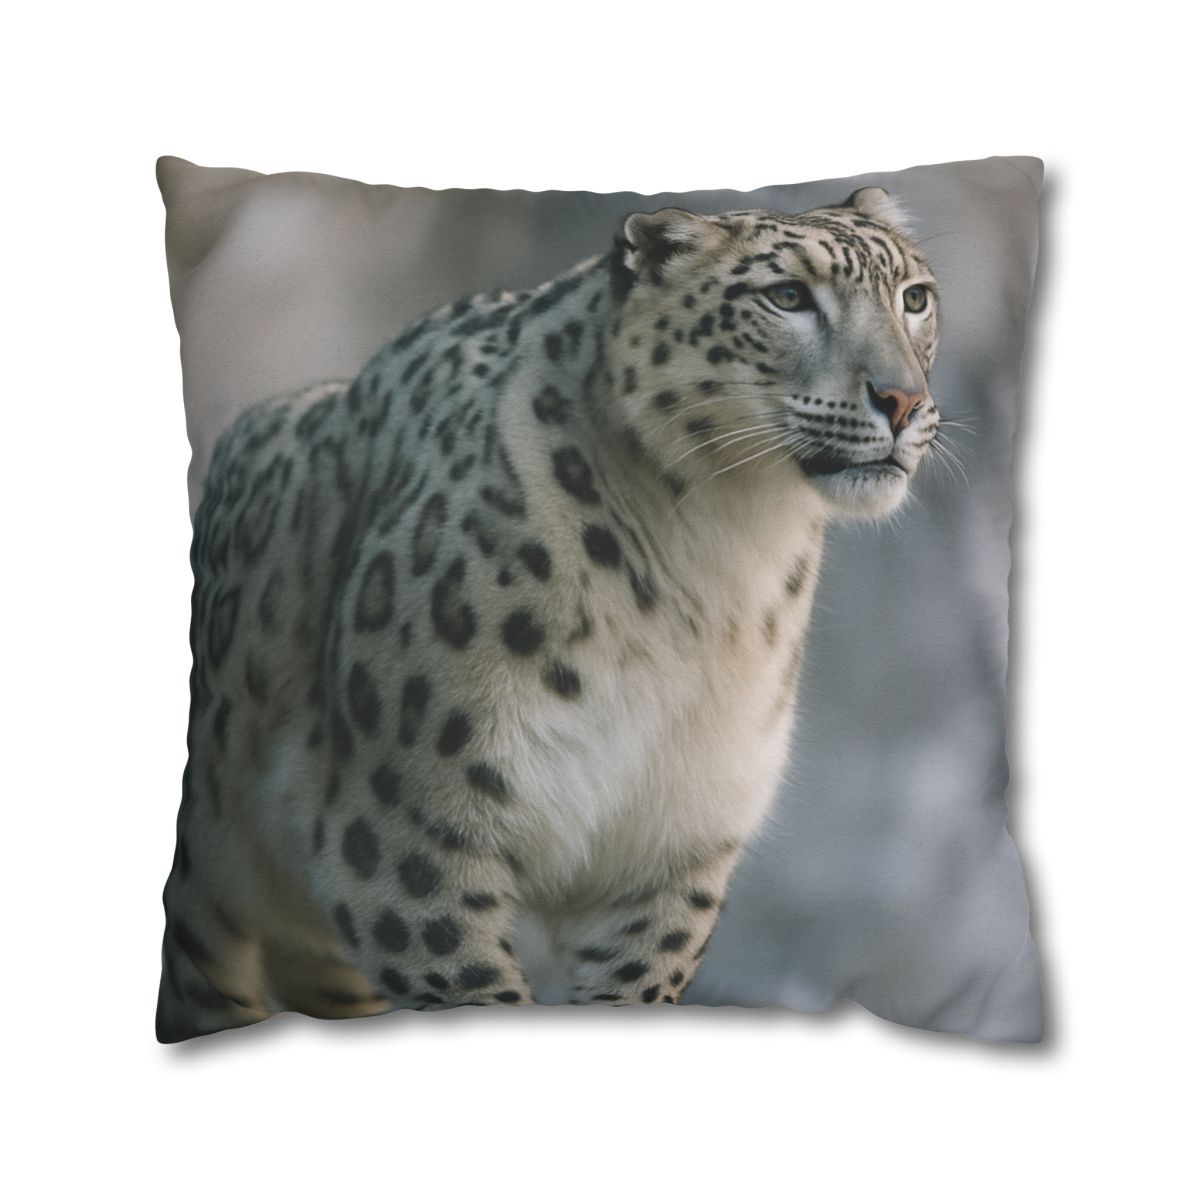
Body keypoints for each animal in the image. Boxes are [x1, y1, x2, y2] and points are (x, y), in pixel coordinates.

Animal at [157, 186, 941, 1041]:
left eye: (915, 298)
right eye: (788, 297)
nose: (902, 400)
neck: (721, 558)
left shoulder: (670, 849)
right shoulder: (405, 832)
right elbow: (474, 989)